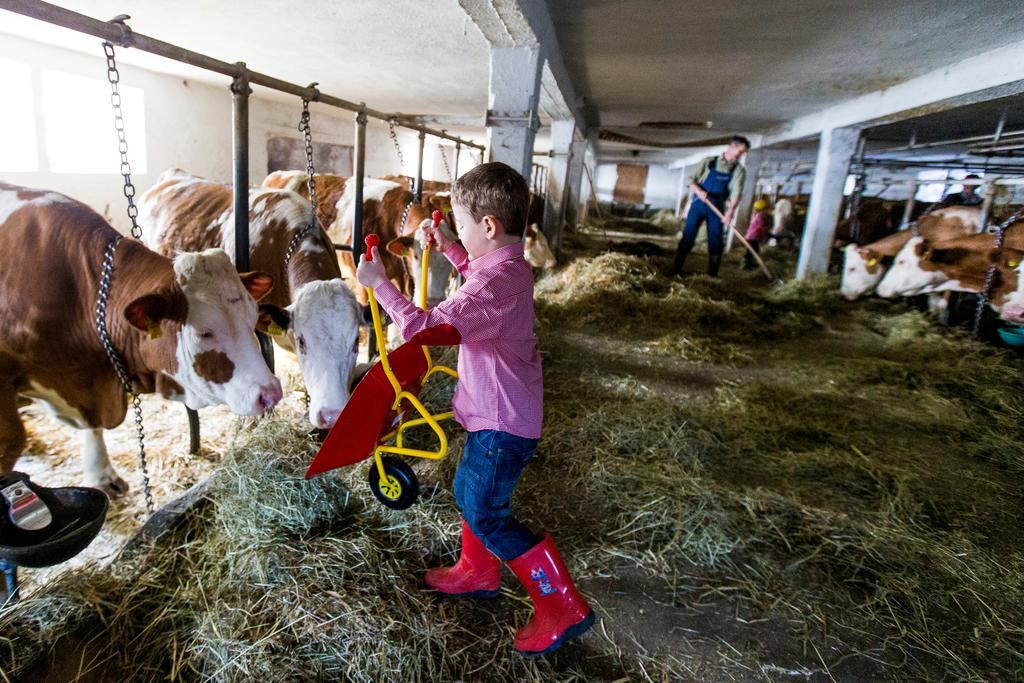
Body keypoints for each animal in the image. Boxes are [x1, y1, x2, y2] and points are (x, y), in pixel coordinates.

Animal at [0, 181, 282, 491]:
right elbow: (12, 441)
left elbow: (93, 428)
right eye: (204, 332)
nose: (271, 393)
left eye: (252, 318)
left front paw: (101, 474)